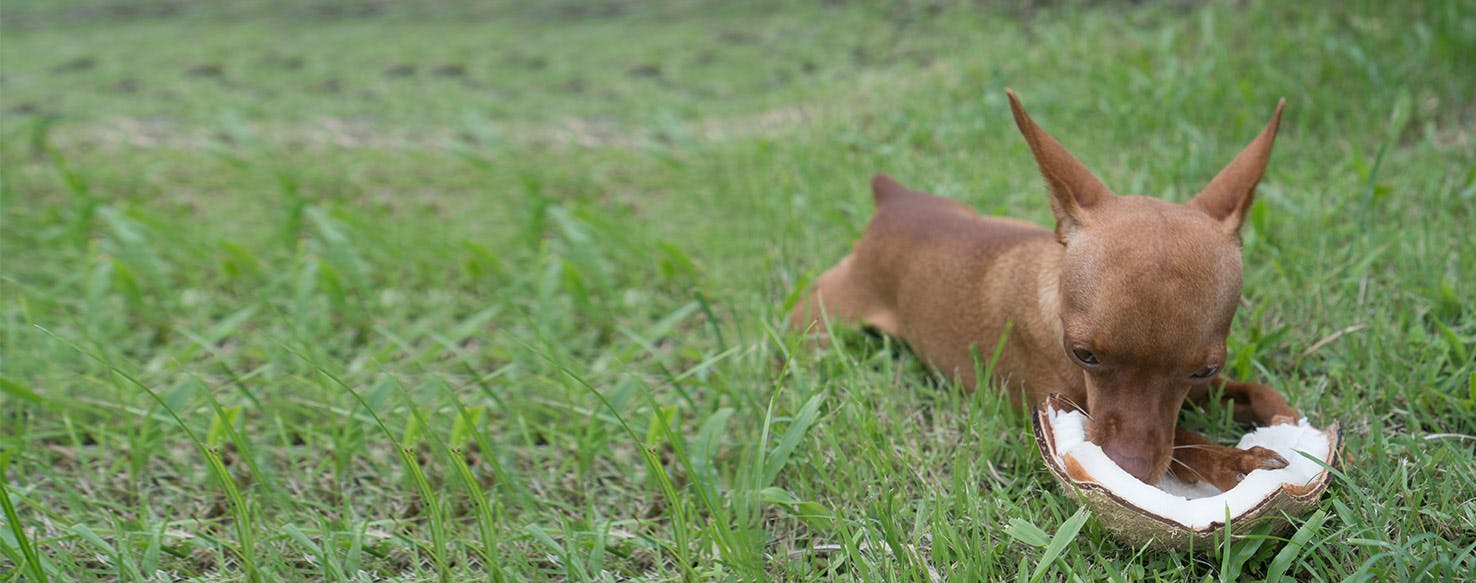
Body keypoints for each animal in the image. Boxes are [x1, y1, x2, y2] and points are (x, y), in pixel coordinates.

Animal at [791, 90, 1298, 492]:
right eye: (1083, 354)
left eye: (1205, 368)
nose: (1128, 469)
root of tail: (892, 201)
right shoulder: (1073, 408)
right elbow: (1186, 444)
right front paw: (1235, 460)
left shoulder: (1202, 388)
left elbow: (1256, 392)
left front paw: (1284, 418)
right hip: (820, 323)